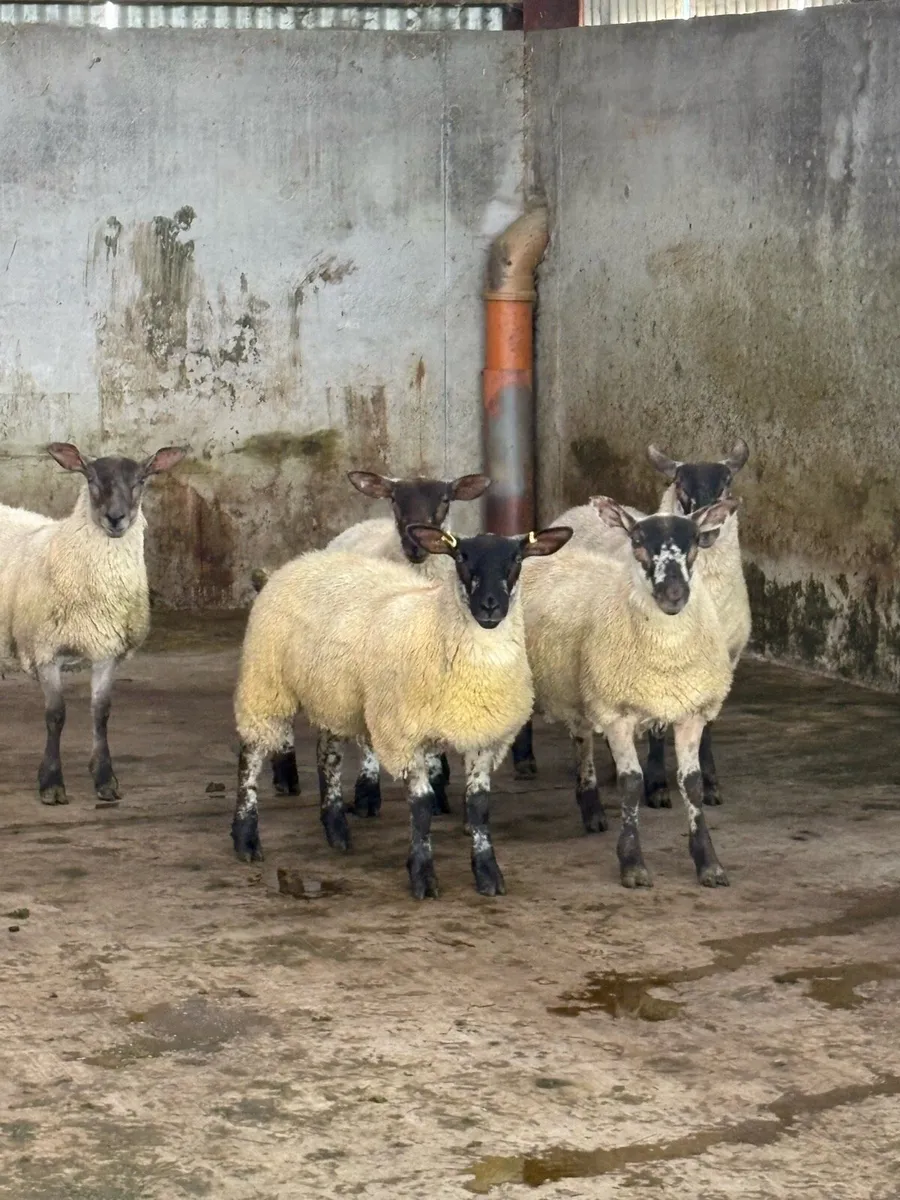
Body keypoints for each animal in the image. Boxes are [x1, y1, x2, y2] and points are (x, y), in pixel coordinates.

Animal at [0, 442, 187, 804]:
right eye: (91, 479)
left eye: (141, 480)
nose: (116, 518)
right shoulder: (45, 650)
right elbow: (56, 715)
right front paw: (51, 783)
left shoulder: (107, 651)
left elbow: (101, 712)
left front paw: (104, 779)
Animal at [232, 522, 572, 899]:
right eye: (461, 557)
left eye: (516, 559)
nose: (490, 606)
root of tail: (301, 560)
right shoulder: (405, 734)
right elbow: (421, 807)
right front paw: (422, 875)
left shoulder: (486, 737)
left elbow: (479, 806)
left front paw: (488, 874)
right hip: (267, 683)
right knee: (251, 754)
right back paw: (246, 838)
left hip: (333, 694)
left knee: (328, 756)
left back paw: (336, 829)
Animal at [257, 468, 490, 818]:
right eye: (394, 499)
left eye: (445, 500)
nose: (414, 545)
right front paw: (367, 793)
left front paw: (437, 786)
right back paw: (287, 777)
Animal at [521, 496, 738, 888]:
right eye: (637, 541)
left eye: (694, 542)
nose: (674, 594)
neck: (666, 654)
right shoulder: (616, 712)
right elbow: (631, 784)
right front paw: (633, 863)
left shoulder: (690, 711)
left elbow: (693, 784)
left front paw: (708, 863)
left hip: (580, 688)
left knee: (581, 737)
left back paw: (591, 807)